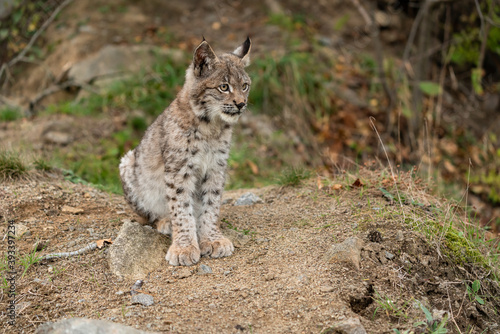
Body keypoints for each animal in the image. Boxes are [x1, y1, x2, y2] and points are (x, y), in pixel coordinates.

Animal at [119, 37, 252, 266]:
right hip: (128, 162)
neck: (211, 127)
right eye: (224, 87)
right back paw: (165, 221)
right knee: (150, 213)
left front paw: (212, 239)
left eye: (244, 86)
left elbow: (211, 205)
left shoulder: (216, 168)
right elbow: (181, 208)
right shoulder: (179, 169)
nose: (241, 104)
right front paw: (184, 246)